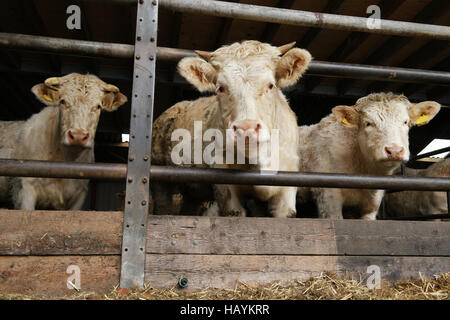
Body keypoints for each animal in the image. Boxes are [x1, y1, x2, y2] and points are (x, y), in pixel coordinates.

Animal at [0, 74, 127, 211]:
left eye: (98, 106)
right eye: (63, 102)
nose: (78, 136)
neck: (65, 159)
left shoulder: (79, 195)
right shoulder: (24, 189)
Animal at [153, 38, 312, 216]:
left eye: (270, 85)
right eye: (220, 88)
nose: (247, 129)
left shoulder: (287, 190)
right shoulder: (226, 189)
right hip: (160, 177)